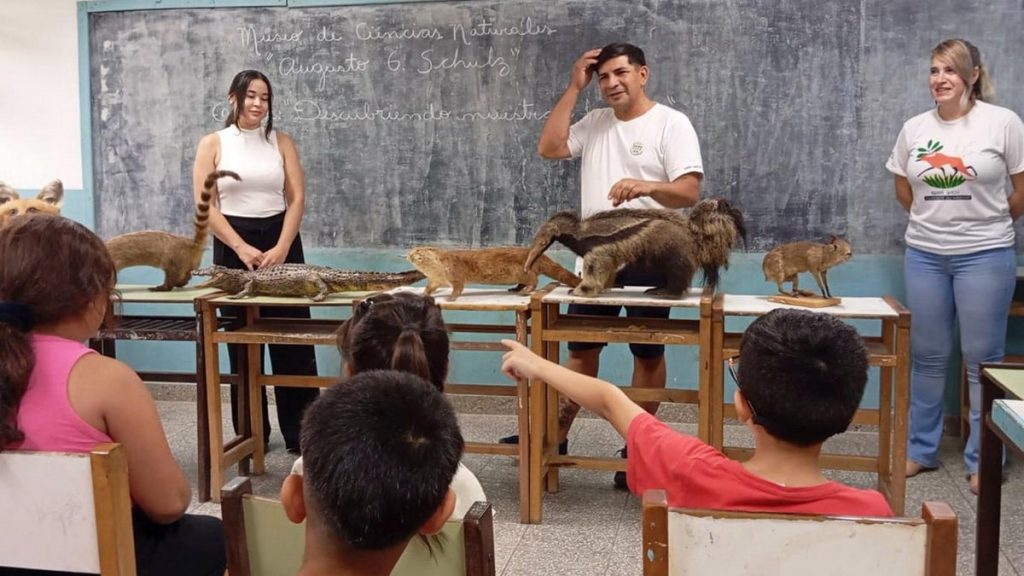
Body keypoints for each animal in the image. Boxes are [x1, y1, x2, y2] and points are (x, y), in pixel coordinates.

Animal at [106, 168, 239, 289]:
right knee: (186, 275)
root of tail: (192, 243)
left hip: (174, 261)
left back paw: (163, 287)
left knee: (172, 277)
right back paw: (181, 283)